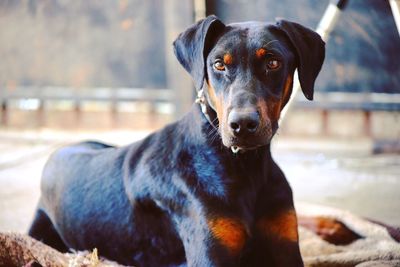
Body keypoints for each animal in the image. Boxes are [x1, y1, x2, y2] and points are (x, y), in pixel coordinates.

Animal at [29, 15, 324, 267]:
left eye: (273, 63)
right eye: (219, 64)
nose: (242, 124)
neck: (245, 165)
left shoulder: (285, 245)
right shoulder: (210, 253)